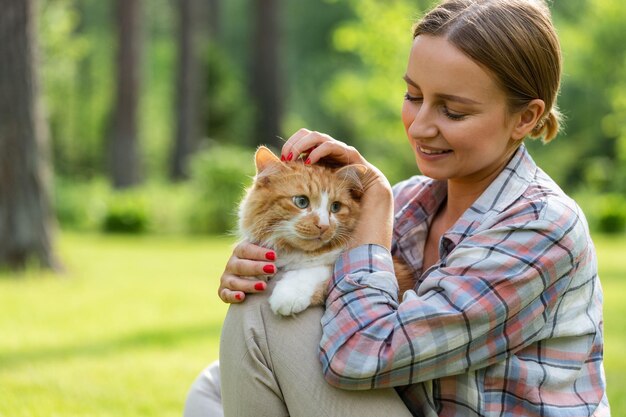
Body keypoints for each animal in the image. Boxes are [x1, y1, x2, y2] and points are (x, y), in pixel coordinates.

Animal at [236, 146, 416, 316]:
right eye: (301, 201)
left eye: (335, 207)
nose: (323, 225)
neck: (297, 254)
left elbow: (318, 270)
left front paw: (288, 294)